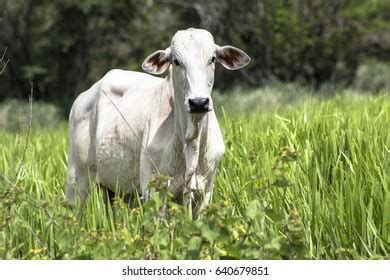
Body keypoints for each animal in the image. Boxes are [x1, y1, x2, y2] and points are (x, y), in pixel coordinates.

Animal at [66, 28, 250, 211]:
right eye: (176, 61)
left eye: (212, 59)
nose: (198, 102)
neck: (192, 142)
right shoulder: (152, 189)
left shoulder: (206, 191)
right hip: (77, 181)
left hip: (114, 190)